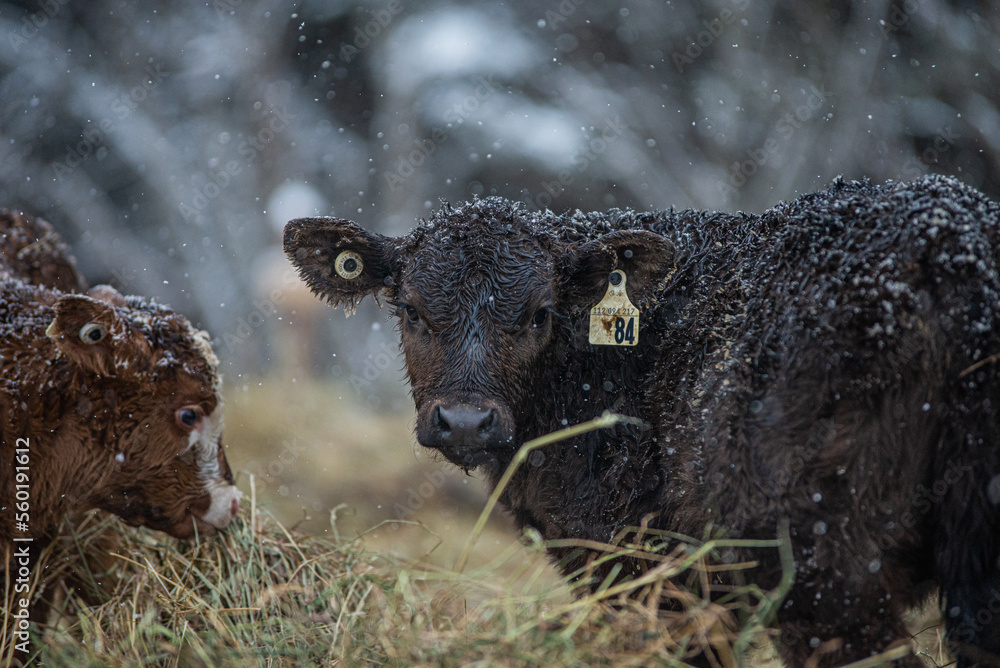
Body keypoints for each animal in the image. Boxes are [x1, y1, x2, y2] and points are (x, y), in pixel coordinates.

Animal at [285, 174, 1000, 667]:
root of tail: (951, 251)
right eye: (409, 309)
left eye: (539, 314)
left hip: (826, 573)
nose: (465, 423)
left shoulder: (643, 573)